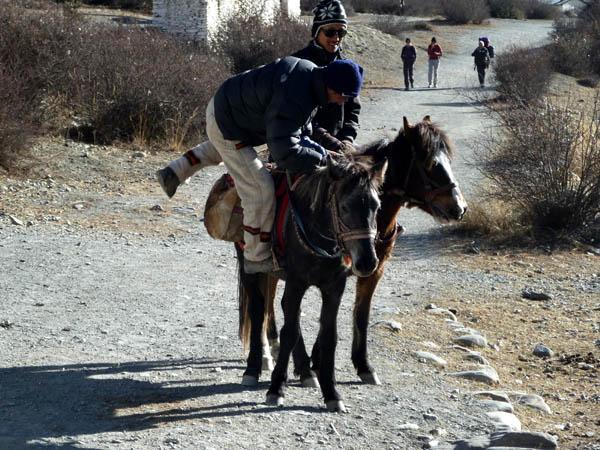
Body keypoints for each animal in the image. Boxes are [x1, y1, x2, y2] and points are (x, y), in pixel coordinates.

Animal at [236, 154, 390, 412]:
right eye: (345, 206)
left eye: (377, 207)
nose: (368, 262)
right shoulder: (297, 283)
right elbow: (288, 333)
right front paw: (276, 388)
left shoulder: (334, 287)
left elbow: (329, 335)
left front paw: (332, 393)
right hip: (247, 264)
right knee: (258, 310)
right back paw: (253, 368)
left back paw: (306, 373)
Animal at [239, 116, 468, 390]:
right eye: (430, 163)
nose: (460, 207)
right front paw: (317, 362)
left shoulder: (370, 272)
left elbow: (359, 314)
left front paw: (361, 366)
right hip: (251, 260)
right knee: (260, 304)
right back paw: (266, 360)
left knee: (272, 300)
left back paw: (282, 353)